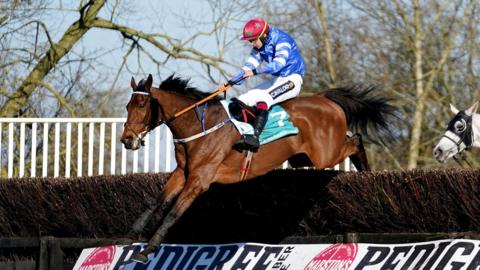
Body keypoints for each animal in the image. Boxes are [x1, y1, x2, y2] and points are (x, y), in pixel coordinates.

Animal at [121, 74, 398, 264]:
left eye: (142, 106)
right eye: (127, 106)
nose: (127, 140)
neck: (199, 126)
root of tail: (326, 99)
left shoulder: (200, 179)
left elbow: (173, 213)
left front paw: (147, 250)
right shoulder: (183, 173)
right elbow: (158, 200)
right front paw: (133, 234)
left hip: (325, 154)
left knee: (357, 140)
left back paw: (366, 172)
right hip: (301, 158)